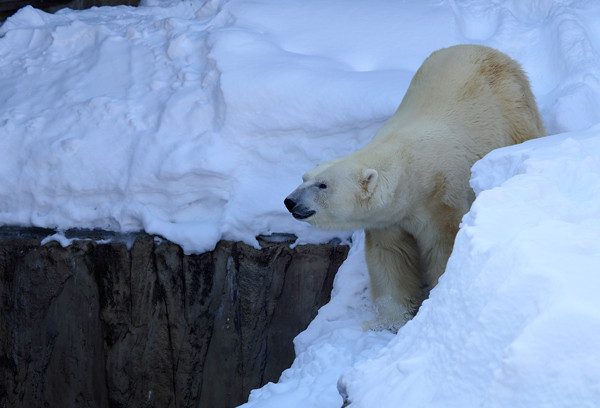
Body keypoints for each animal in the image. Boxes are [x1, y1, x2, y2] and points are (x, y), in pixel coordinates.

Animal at [284, 44, 548, 330]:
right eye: (303, 177)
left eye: (323, 185)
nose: (290, 201)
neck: (409, 171)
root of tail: (492, 51)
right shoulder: (388, 219)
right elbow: (390, 258)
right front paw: (388, 321)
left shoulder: (441, 200)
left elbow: (442, 249)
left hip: (512, 109)